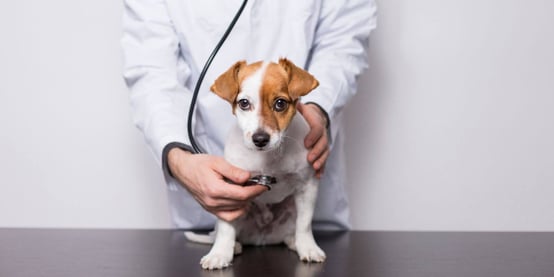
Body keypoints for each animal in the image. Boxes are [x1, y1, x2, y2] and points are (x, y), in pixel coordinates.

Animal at [184, 57, 324, 268]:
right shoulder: (229, 190)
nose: (260, 139)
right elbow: (226, 229)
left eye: (280, 103)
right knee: (224, 232)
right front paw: (220, 253)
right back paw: (234, 246)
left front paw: (308, 247)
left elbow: (305, 224)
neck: (267, 158)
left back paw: (294, 241)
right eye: (244, 103)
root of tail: (261, 237)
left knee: (293, 229)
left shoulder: (307, 187)